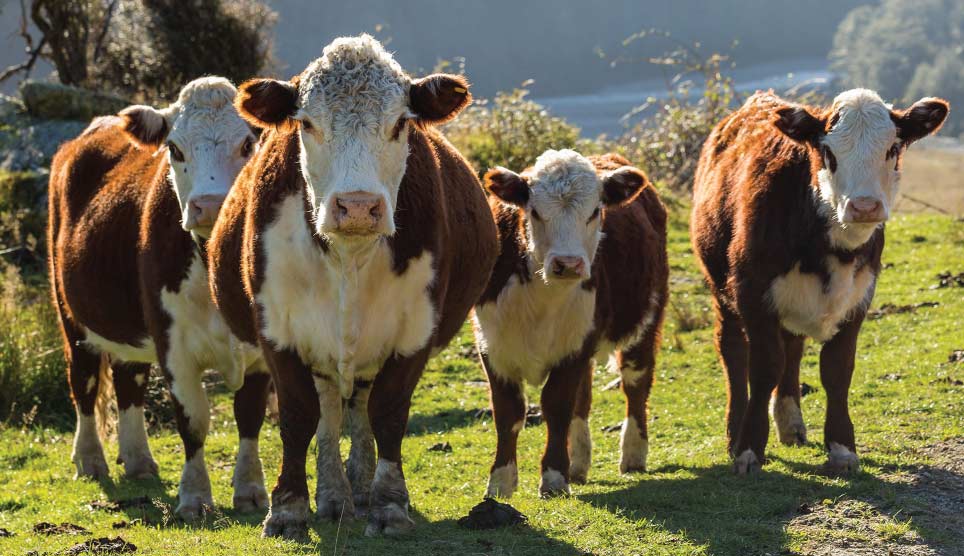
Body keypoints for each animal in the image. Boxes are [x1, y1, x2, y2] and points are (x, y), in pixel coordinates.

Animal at [49, 77, 272, 516]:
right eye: (176, 148)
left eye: (246, 144)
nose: (209, 206)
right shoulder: (174, 346)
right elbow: (193, 420)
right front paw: (195, 497)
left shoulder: (257, 342)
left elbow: (250, 415)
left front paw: (251, 490)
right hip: (71, 314)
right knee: (83, 381)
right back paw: (90, 459)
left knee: (128, 380)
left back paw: (138, 460)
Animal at [208, 34, 500, 540]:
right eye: (306, 123)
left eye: (402, 123)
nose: (359, 206)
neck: (348, 257)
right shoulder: (276, 329)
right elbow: (298, 415)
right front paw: (288, 509)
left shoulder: (416, 329)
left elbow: (388, 413)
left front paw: (388, 504)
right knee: (328, 409)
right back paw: (334, 496)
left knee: (360, 405)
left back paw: (358, 490)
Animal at [476, 150, 672, 498]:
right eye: (535, 211)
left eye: (595, 212)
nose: (568, 264)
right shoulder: (492, 345)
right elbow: (508, 413)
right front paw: (500, 481)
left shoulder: (576, 345)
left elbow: (557, 406)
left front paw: (554, 478)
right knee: (584, 397)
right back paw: (579, 463)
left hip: (645, 320)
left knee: (636, 383)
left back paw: (633, 454)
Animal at [692, 88, 948, 474]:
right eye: (828, 152)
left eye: (892, 148)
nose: (864, 206)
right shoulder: (753, 293)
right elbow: (763, 367)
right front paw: (749, 449)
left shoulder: (859, 297)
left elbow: (836, 370)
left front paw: (842, 448)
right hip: (721, 288)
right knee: (733, 351)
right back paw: (734, 432)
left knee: (792, 347)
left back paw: (790, 423)